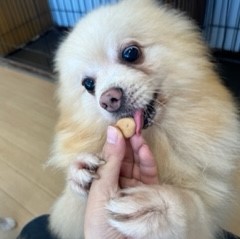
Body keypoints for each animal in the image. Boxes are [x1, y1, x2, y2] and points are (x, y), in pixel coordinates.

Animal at [47, 0, 239, 239]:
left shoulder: (210, 209)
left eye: (130, 53)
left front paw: (160, 207)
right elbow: (71, 210)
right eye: (88, 84)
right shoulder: (70, 220)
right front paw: (78, 173)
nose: (108, 99)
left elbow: (193, 206)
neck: (155, 139)